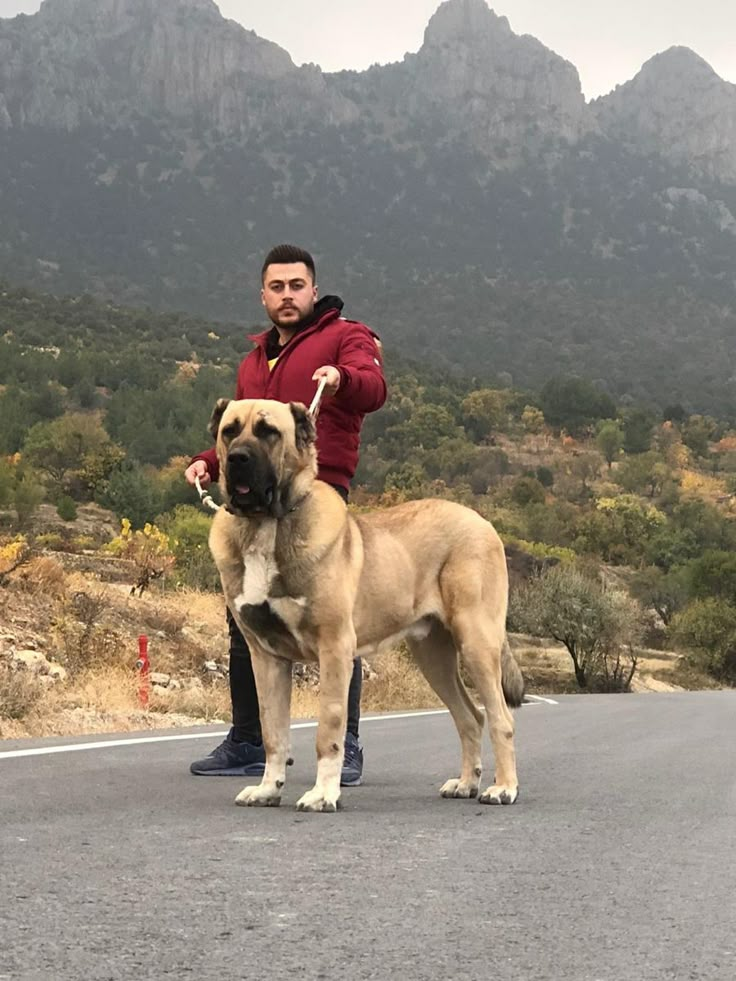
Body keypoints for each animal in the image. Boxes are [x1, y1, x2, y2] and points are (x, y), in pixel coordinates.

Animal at [207, 394, 524, 808]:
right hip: (433, 656)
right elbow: (273, 731)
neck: (266, 525)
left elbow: (329, 729)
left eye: (268, 431)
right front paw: (267, 788)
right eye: (229, 431)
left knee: (502, 718)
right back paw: (466, 783)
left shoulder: (334, 648)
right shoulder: (266, 657)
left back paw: (504, 787)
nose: (238, 459)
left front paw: (323, 793)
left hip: (476, 642)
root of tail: (482, 521)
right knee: (471, 716)